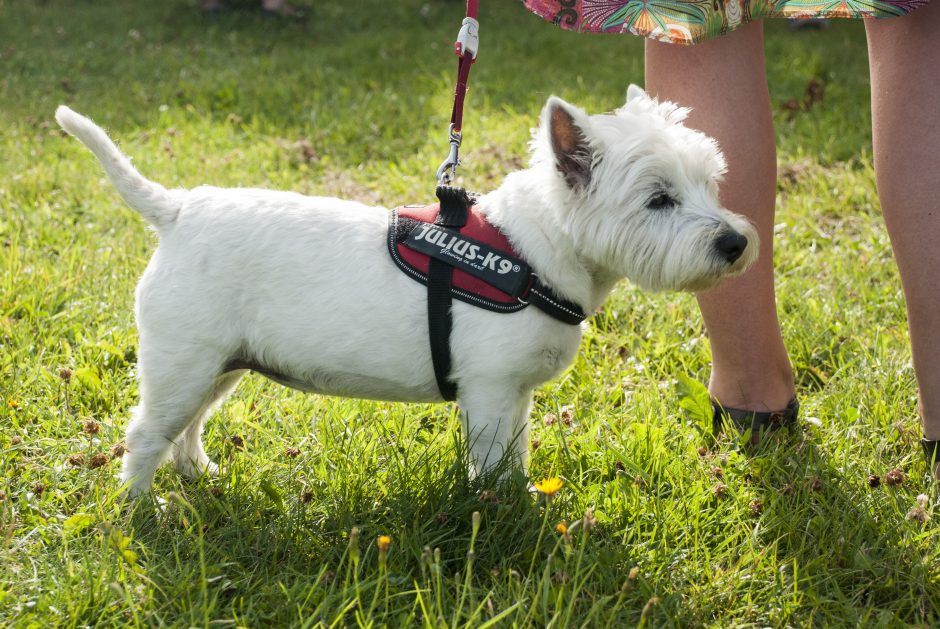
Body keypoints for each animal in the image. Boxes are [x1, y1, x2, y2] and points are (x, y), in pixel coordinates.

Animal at [55, 84, 756, 496]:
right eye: (658, 199)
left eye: (709, 184)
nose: (736, 243)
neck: (536, 252)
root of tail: (176, 210)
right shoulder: (490, 388)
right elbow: (493, 462)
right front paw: (505, 514)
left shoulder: (515, 392)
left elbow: (515, 452)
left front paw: (517, 497)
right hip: (184, 359)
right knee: (147, 431)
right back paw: (140, 509)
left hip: (219, 362)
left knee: (188, 424)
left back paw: (198, 473)